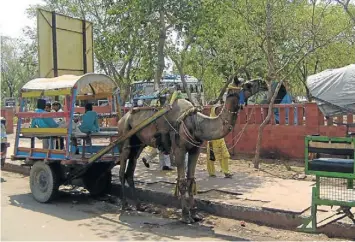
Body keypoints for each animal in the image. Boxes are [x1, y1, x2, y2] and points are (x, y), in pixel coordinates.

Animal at [115, 77, 266, 223]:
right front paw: (185, 216)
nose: (263, 82)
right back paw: (125, 205)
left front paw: (195, 214)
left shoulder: (195, 150)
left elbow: (191, 180)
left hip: (138, 144)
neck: (195, 123)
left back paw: (139, 206)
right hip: (125, 138)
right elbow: (182, 182)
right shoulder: (179, 150)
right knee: (122, 170)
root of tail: (121, 119)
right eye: (247, 85)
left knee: (130, 170)